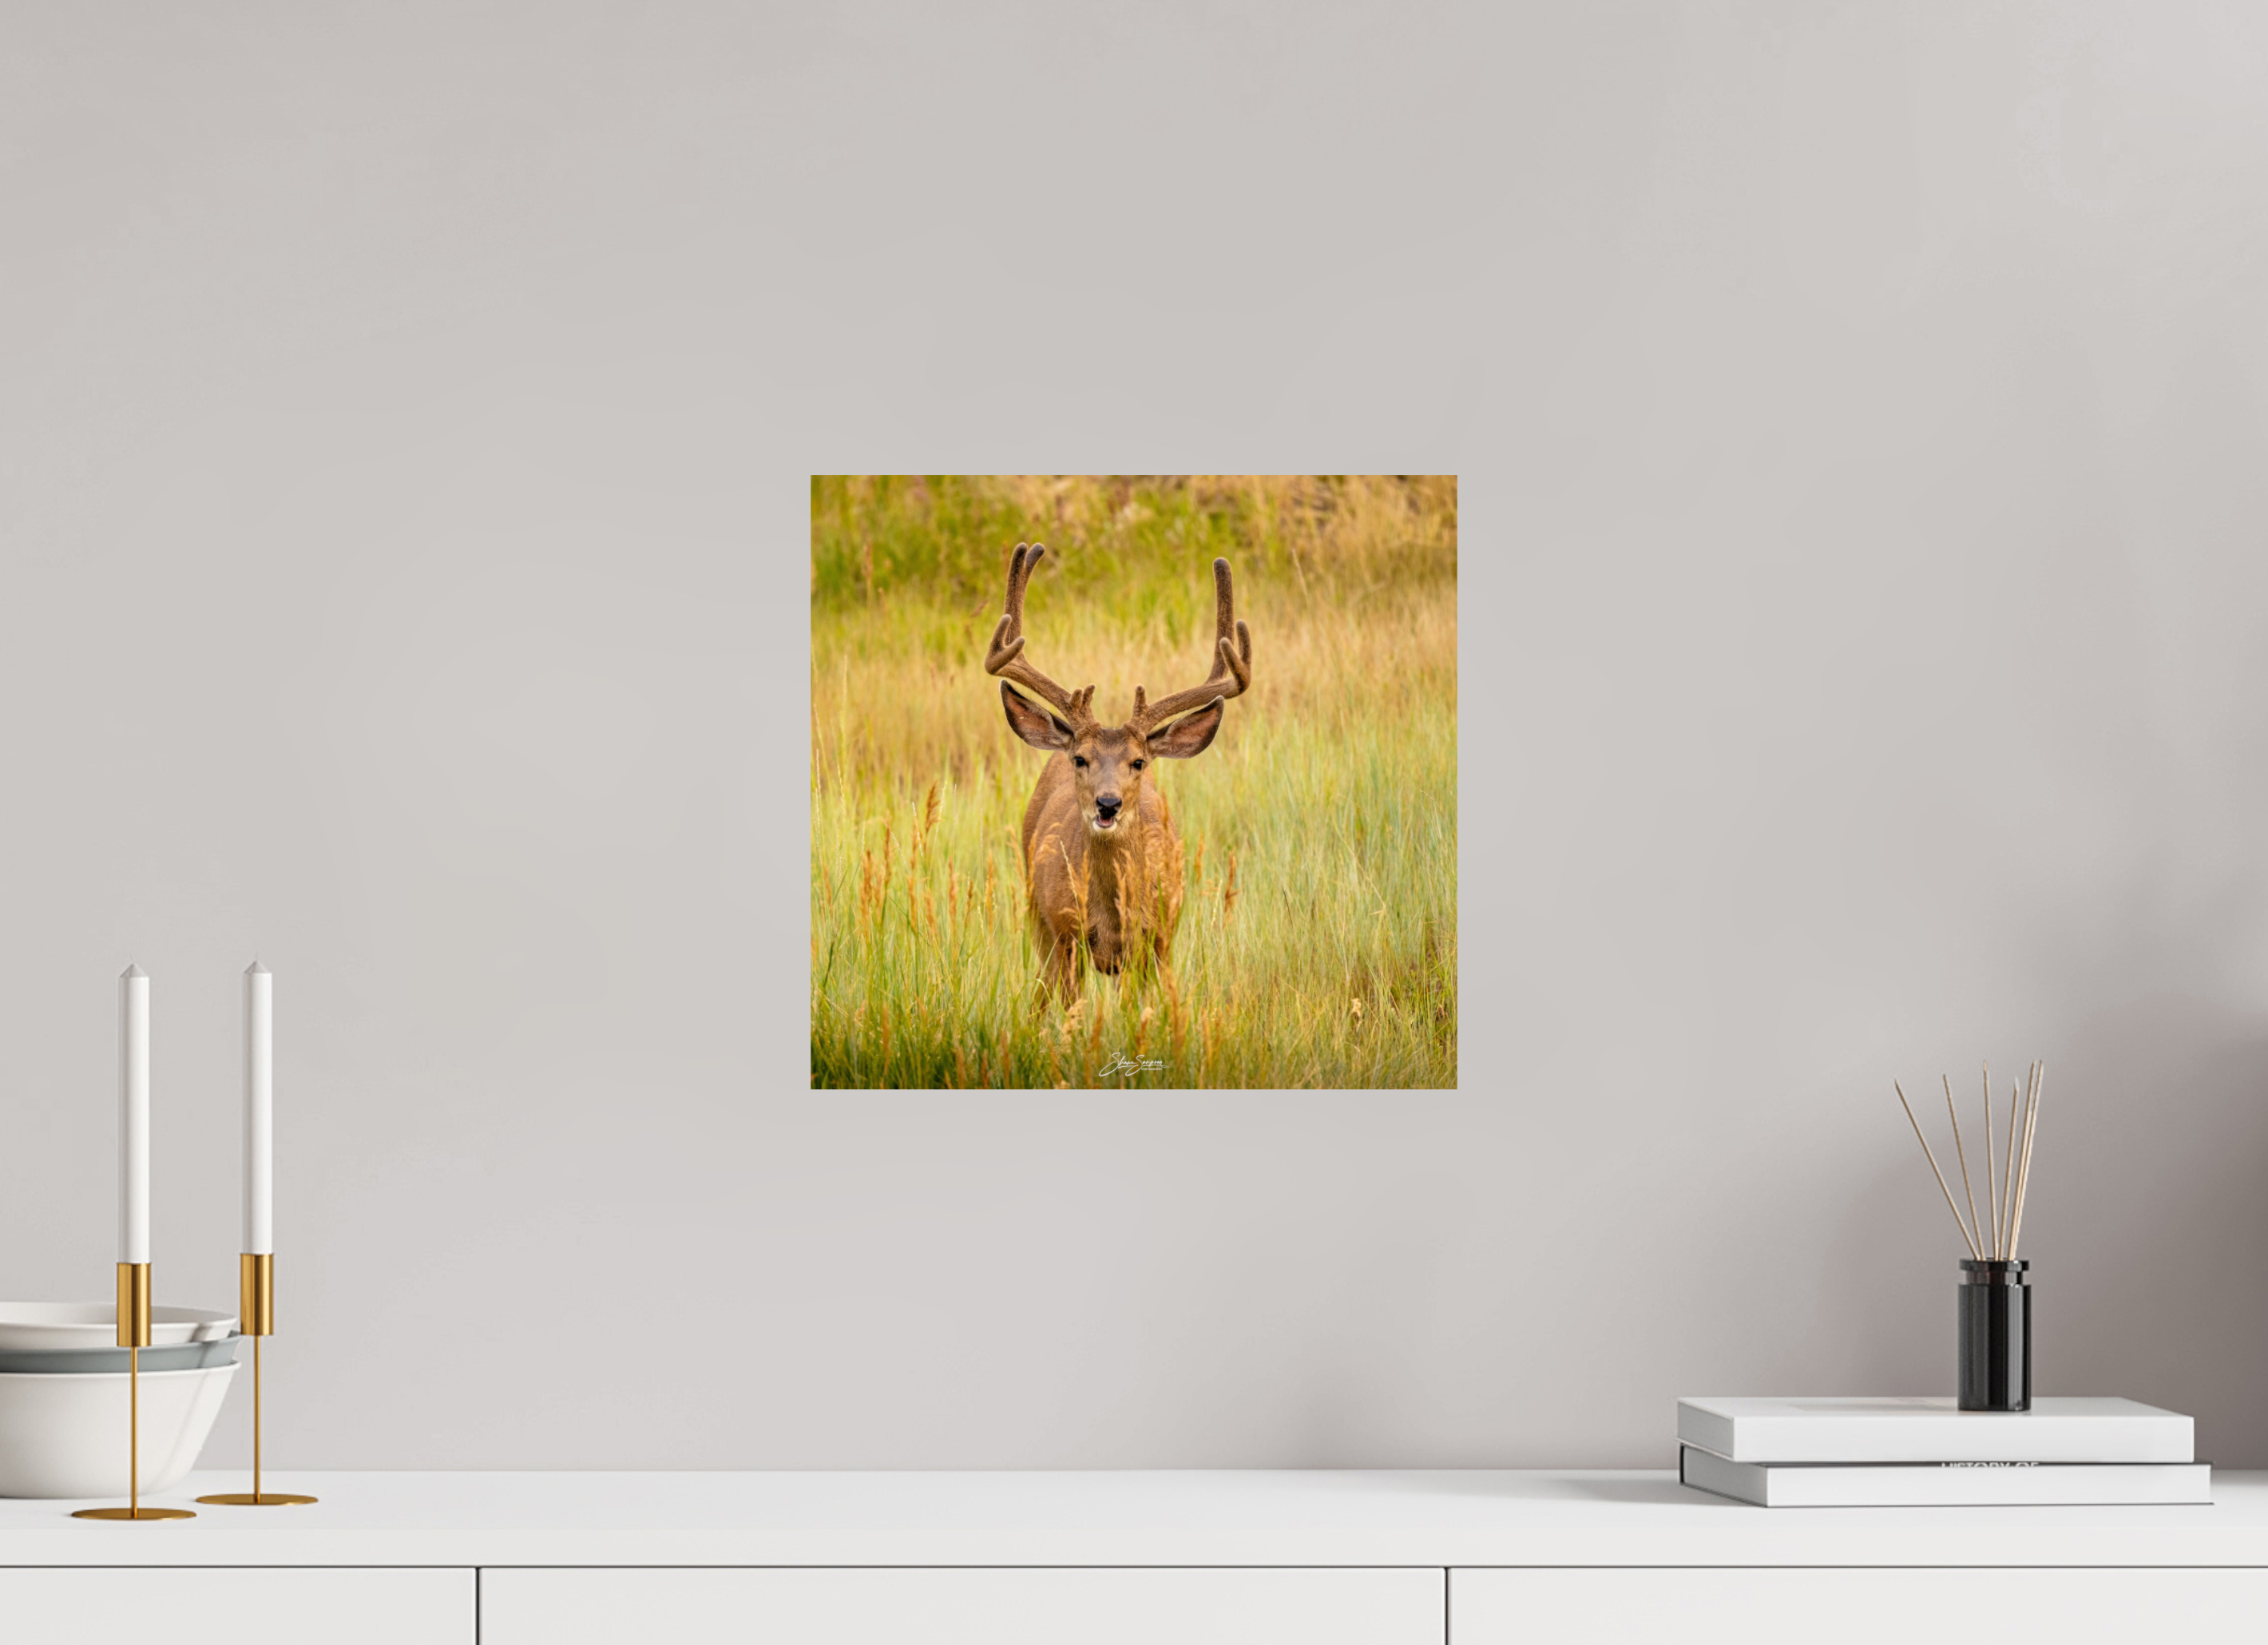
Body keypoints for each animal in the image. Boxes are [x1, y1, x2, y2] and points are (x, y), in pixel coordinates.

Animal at [985, 543, 1253, 1002]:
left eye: (1138, 762)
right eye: (1080, 759)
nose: (1107, 803)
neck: (1111, 918)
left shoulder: (1159, 941)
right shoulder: (1065, 936)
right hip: (1036, 915)